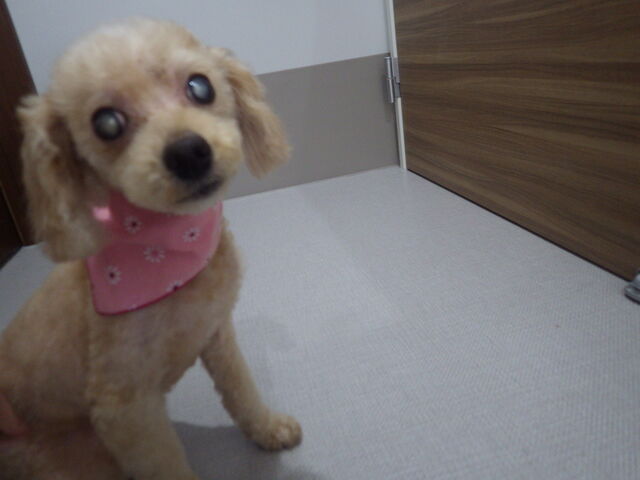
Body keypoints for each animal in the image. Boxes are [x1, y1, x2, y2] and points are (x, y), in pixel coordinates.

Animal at [0, 18, 301, 480]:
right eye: (106, 123)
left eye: (200, 86)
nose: (188, 152)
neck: (168, 251)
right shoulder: (126, 410)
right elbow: (166, 464)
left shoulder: (216, 334)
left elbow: (241, 392)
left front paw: (269, 429)